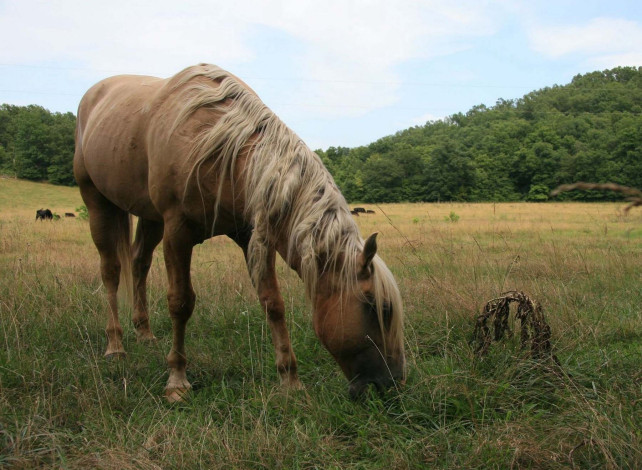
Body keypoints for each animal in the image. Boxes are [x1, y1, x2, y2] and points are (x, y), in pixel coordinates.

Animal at [74, 63, 404, 400]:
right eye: (379, 307)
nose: (393, 384)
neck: (218, 145)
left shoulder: (251, 235)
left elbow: (273, 303)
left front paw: (290, 380)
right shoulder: (177, 232)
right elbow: (180, 302)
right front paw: (177, 380)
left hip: (149, 216)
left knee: (139, 262)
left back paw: (144, 332)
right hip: (98, 202)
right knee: (111, 271)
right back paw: (115, 345)